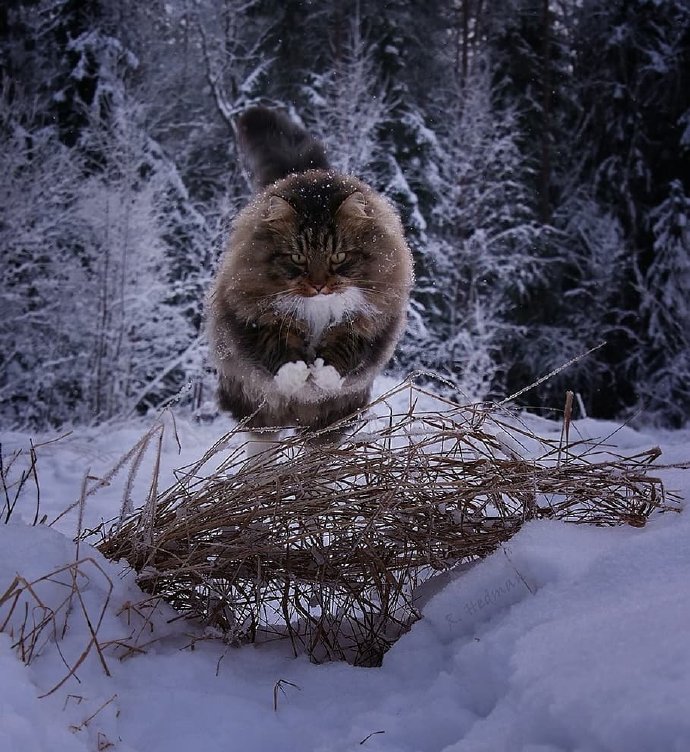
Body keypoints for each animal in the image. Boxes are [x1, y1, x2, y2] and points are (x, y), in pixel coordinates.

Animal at [207, 108, 412, 444]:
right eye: (297, 258)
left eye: (338, 257)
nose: (318, 285)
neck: (317, 308)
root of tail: (307, 173)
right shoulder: (249, 310)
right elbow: (274, 341)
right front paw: (297, 374)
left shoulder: (373, 318)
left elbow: (346, 345)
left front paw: (323, 375)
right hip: (256, 404)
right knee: (262, 438)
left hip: (330, 419)